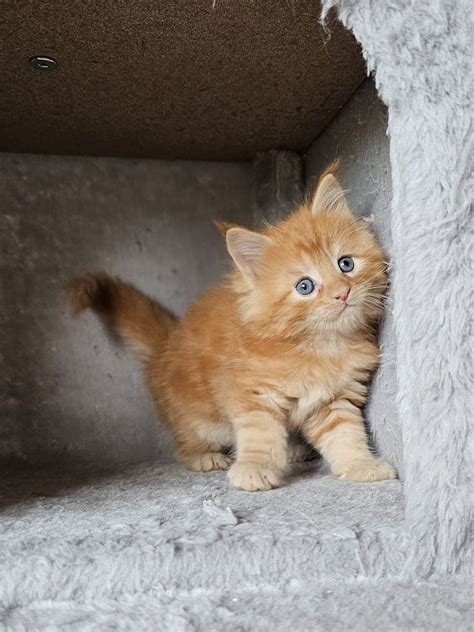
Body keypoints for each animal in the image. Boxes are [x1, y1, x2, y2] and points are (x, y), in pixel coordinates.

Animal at [69, 165, 396, 492]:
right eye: (305, 286)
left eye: (346, 264)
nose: (342, 293)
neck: (319, 345)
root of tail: (167, 341)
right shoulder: (250, 392)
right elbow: (260, 433)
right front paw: (254, 468)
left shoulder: (333, 399)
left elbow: (346, 435)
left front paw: (360, 464)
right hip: (198, 419)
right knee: (184, 444)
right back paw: (204, 457)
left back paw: (292, 450)